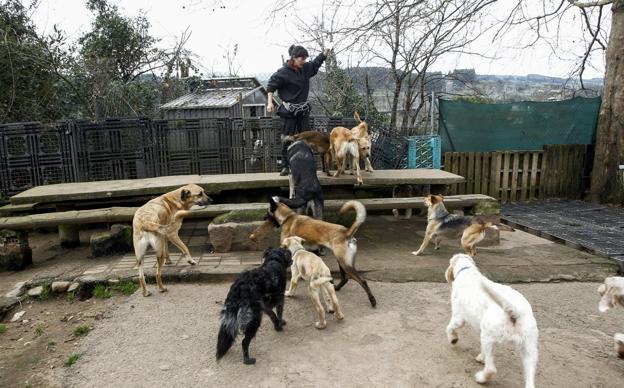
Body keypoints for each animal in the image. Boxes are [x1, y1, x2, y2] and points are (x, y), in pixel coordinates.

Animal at [446, 253, 540, 386]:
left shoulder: (458, 318)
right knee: (530, 381)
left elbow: (449, 328)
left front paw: (453, 339)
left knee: (491, 369)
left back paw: (481, 378)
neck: (467, 270)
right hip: (529, 349)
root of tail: (514, 311)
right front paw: (481, 357)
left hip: (488, 337)